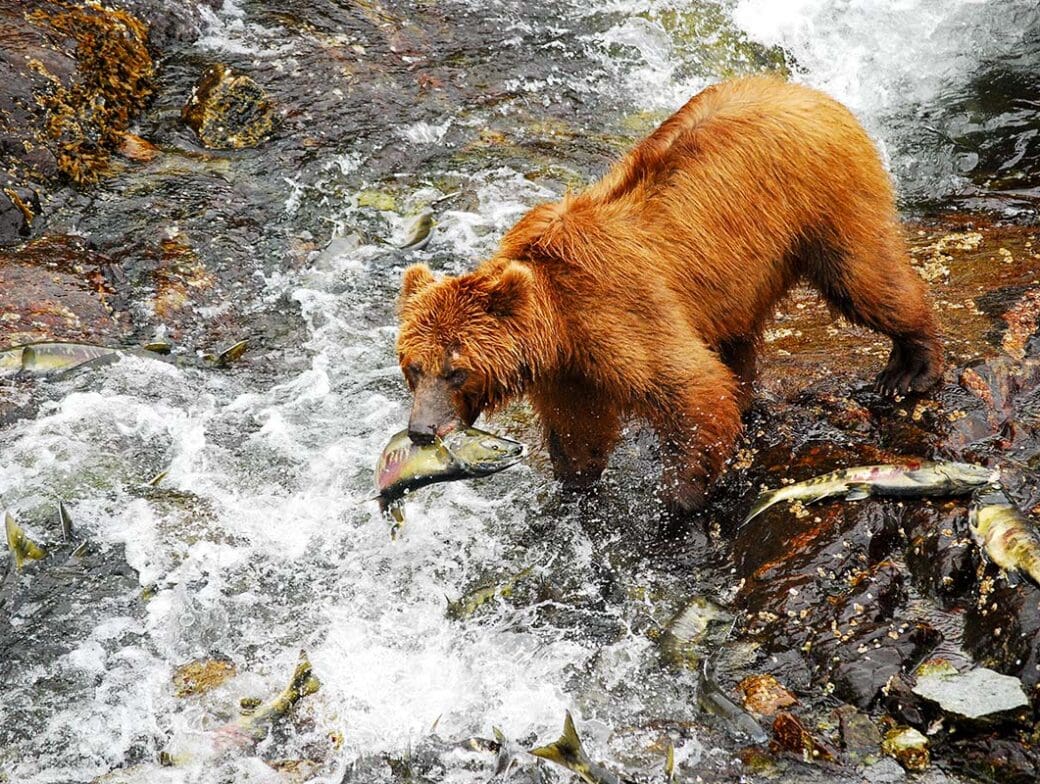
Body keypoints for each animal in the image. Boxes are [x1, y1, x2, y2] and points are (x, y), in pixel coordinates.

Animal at [395, 75, 944, 514]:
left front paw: (678, 498)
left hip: (825, 204)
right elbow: (579, 430)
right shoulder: (567, 370)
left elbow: (692, 390)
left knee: (865, 280)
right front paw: (574, 484)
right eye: (413, 368)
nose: (422, 429)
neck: (559, 324)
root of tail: (811, 92)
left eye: (456, 369)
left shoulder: (617, 313)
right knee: (738, 344)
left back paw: (910, 368)